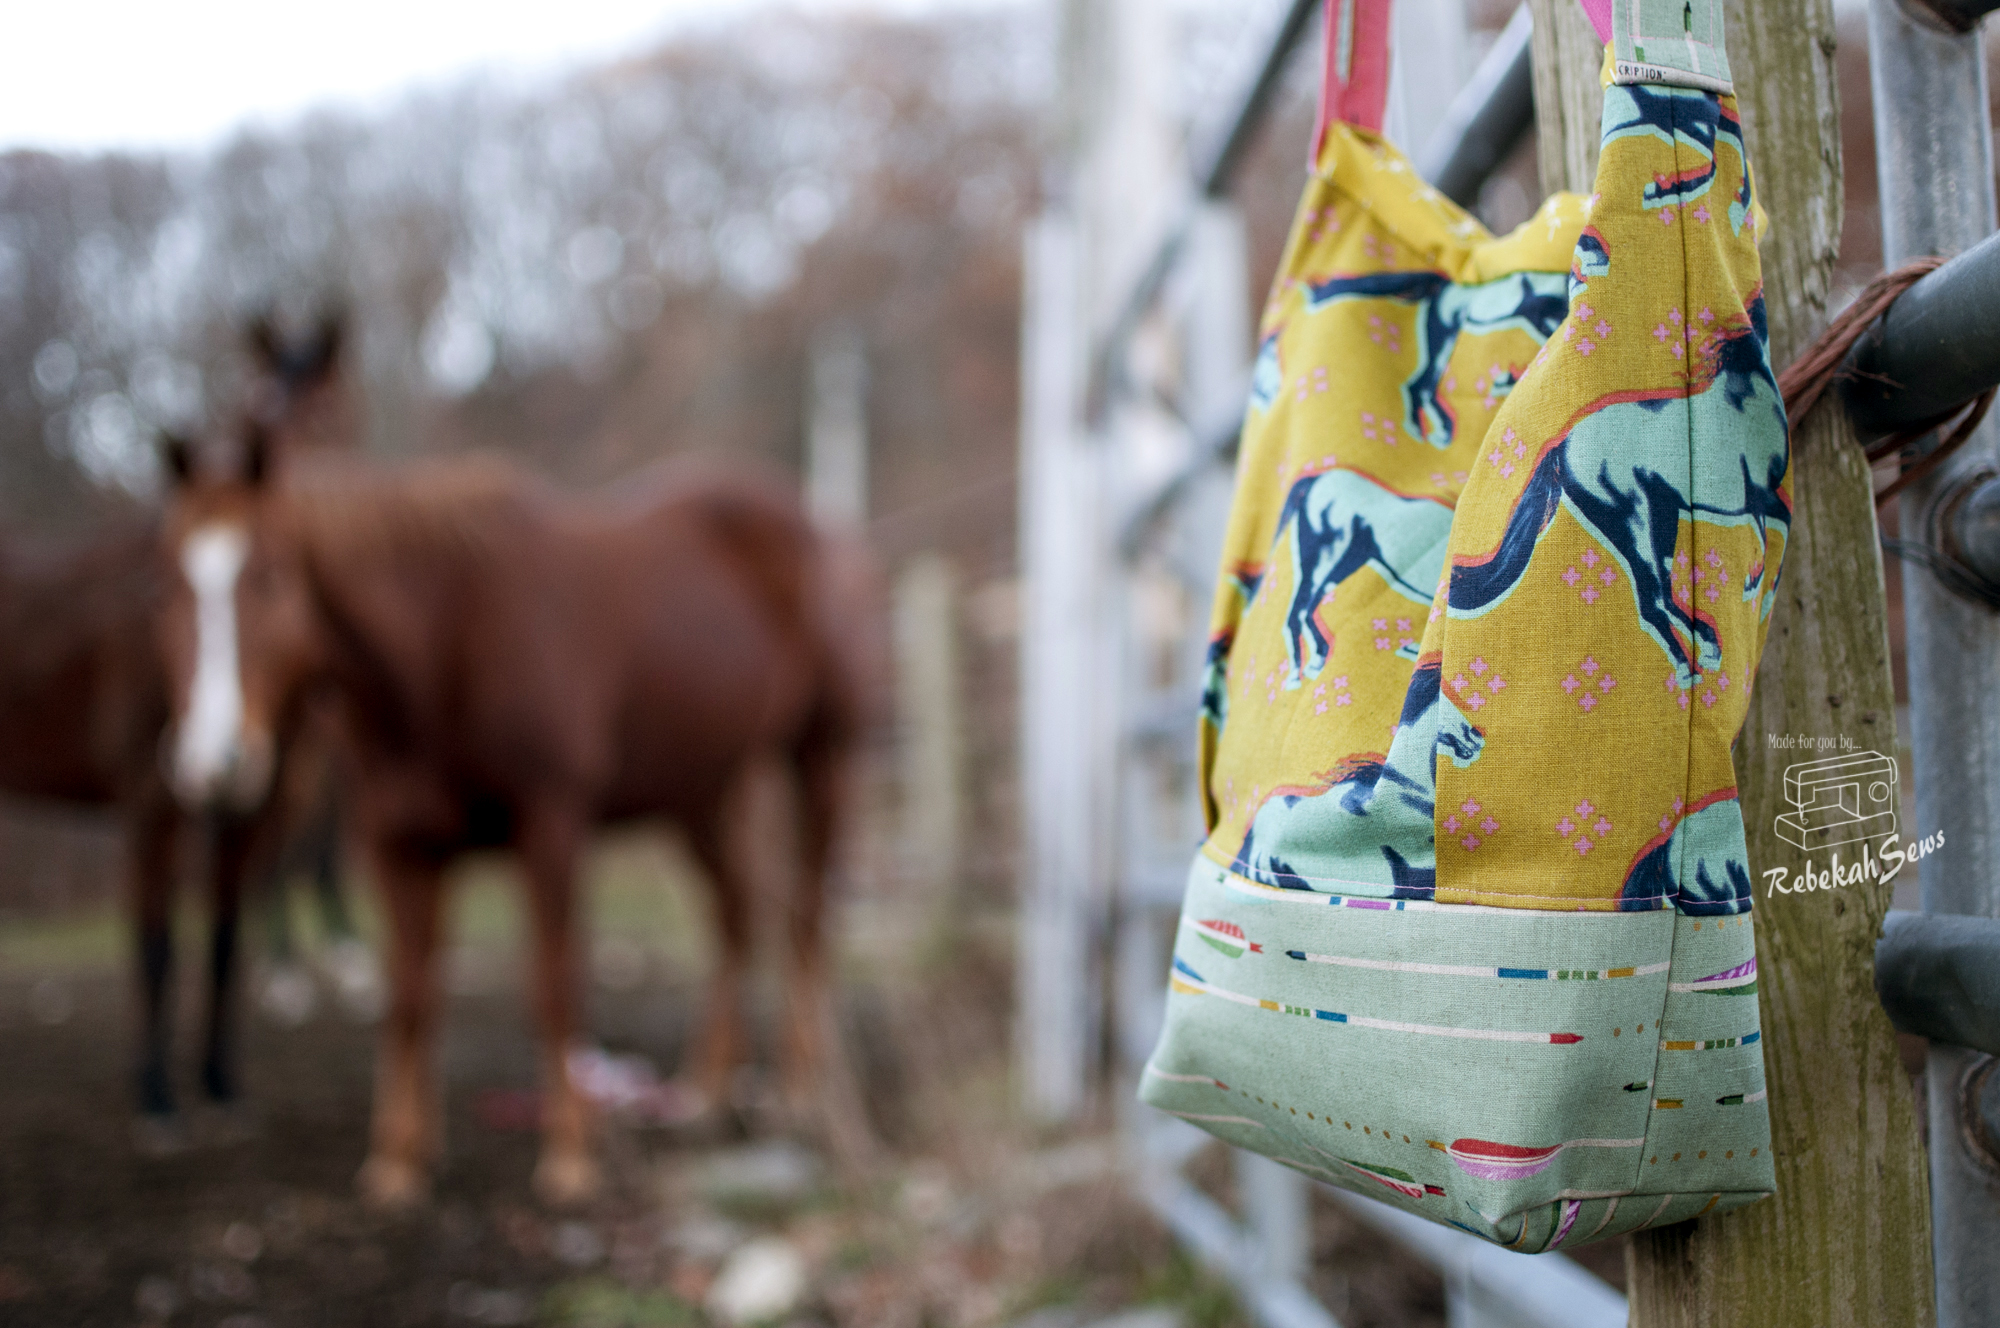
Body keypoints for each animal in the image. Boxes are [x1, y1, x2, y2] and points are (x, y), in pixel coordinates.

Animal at [155, 438, 885, 1208]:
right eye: (169, 585)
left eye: (267, 577)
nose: (213, 758)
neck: (448, 639)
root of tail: (827, 535)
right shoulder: (398, 844)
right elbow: (409, 996)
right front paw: (398, 1162)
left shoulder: (552, 825)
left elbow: (553, 983)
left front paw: (569, 1160)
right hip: (703, 792)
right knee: (737, 916)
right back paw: (708, 1093)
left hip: (820, 759)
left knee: (806, 920)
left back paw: (799, 1094)